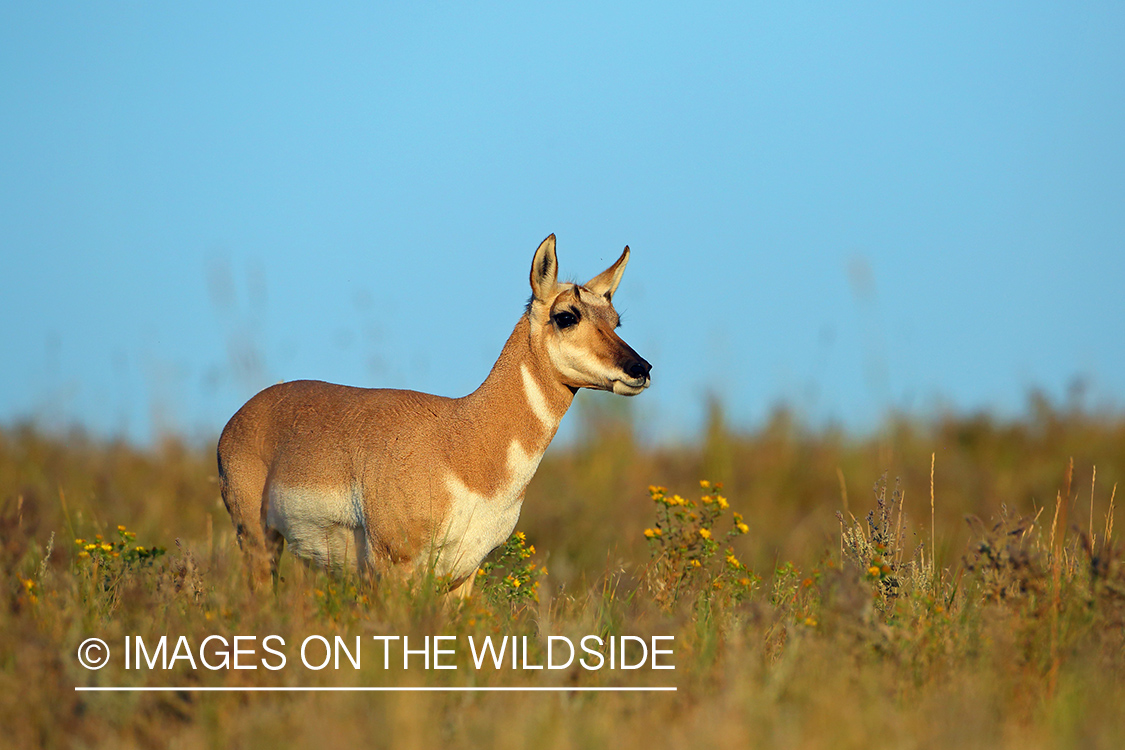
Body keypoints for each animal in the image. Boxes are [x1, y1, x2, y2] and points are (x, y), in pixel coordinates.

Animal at [216, 231, 652, 593]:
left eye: (615, 320)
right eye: (566, 316)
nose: (642, 368)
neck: (464, 440)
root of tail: (244, 413)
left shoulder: (463, 575)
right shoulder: (393, 565)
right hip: (256, 538)